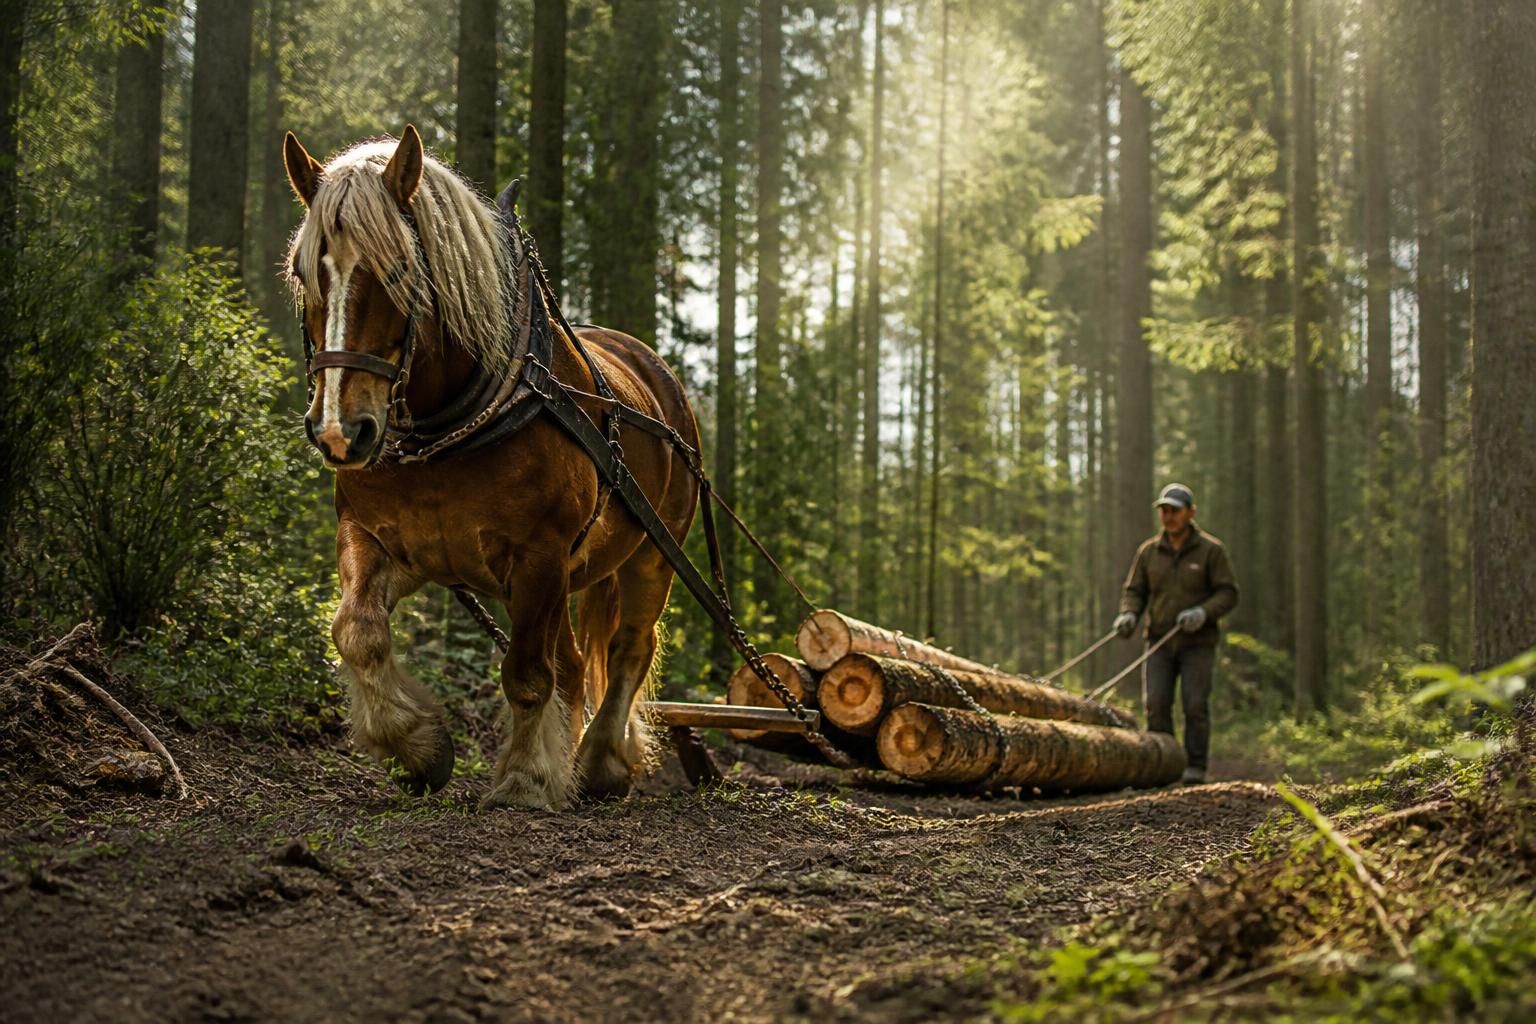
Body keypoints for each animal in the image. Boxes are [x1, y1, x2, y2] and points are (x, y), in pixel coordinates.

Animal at [281, 125, 699, 809]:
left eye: (399, 267)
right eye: (302, 271)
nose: (342, 431)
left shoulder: (539, 556)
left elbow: (527, 674)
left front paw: (524, 779)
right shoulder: (382, 541)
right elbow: (357, 632)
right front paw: (416, 746)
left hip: (650, 555)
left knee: (629, 647)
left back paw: (602, 762)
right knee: (575, 663)